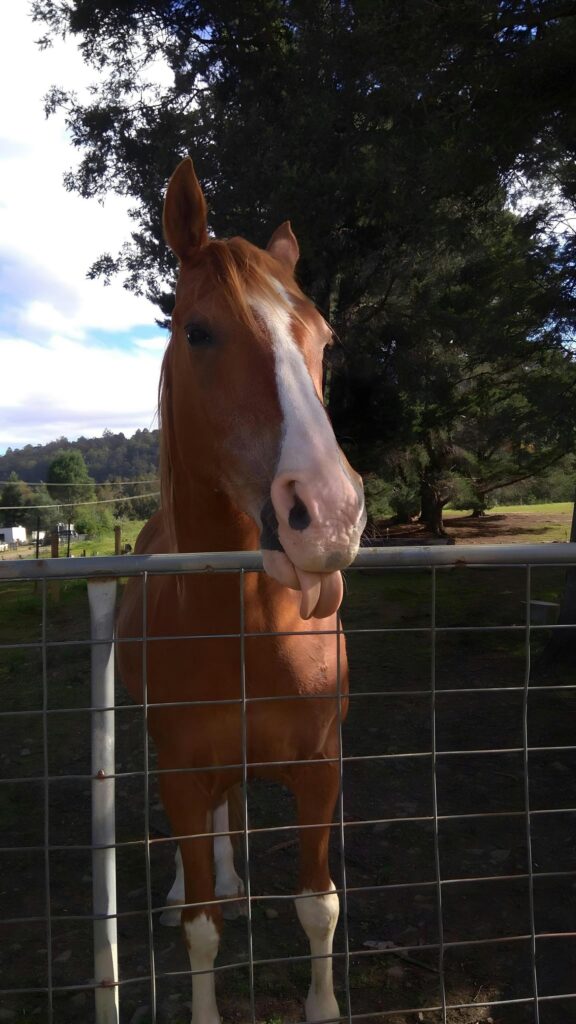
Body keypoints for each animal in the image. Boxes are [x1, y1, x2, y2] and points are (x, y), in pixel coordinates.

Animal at [117, 157, 366, 1024]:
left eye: (324, 339)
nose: (329, 512)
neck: (251, 628)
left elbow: (320, 904)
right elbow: (201, 929)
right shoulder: (183, 776)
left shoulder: (321, 768)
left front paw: (324, 1008)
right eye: (198, 331)